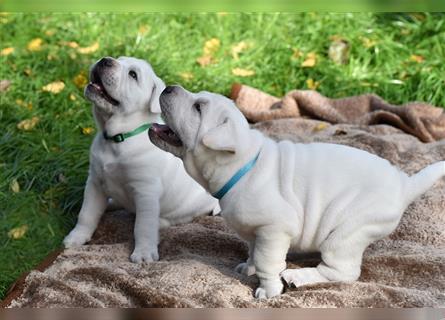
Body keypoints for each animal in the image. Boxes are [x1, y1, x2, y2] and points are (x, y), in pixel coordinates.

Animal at [147, 84, 442, 298]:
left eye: (198, 107)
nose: (169, 87)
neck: (243, 165)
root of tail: (404, 184)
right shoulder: (257, 231)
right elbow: (253, 251)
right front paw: (247, 267)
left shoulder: (274, 229)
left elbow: (267, 262)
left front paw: (268, 290)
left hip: (349, 231)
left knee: (342, 272)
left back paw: (298, 277)